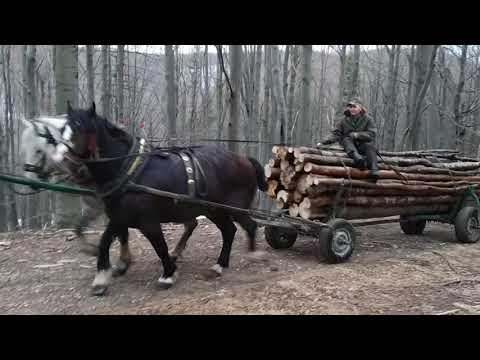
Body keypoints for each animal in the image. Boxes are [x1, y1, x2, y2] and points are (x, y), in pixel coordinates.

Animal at [61, 102, 266, 296]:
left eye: (81, 129)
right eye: (63, 129)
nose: (67, 164)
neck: (129, 170)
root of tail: (244, 158)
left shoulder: (148, 221)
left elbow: (160, 246)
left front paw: (168, 274)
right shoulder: (119, 217)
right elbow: (104, 242)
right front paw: (101, 279)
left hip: (233, 208)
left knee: (249, 226)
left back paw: (252, 254)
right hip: (214, 210)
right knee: (229, 230)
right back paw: (220, 265)